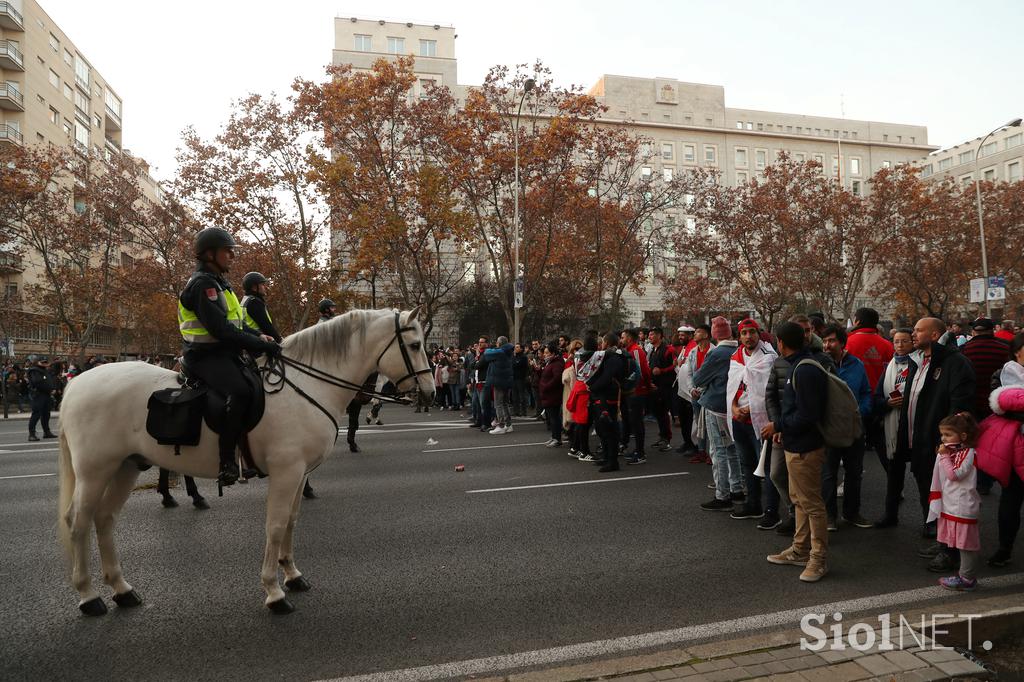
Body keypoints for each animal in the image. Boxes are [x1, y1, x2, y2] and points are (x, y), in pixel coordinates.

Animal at [57, 305, 432, 614]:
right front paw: (274, 591)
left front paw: (292, 574)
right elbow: (275, 525)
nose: (429, 393)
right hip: (95, 471)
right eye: (415, 345)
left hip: (126, 466)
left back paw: (122, 590)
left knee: (104, 519)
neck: (307, 384)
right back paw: (89, 596)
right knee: (78, 521)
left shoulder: (299, 475)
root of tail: (76, 384)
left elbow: (291, 521)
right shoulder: (286, 472)